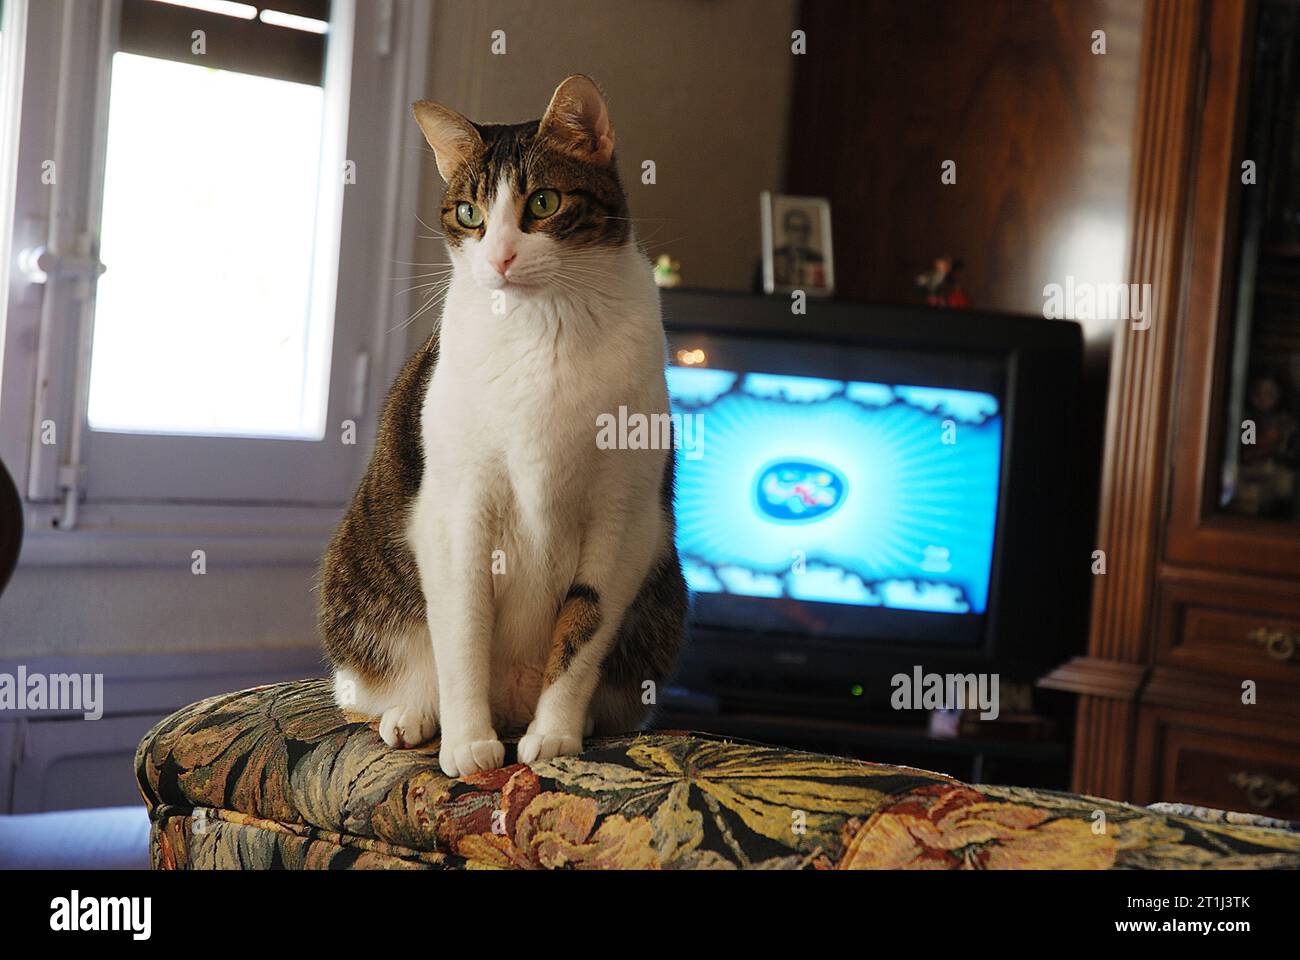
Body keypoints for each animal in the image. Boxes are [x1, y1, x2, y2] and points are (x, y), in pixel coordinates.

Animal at [318, 74, 686, 780]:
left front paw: (556, 734)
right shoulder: (459, 507)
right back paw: (413, 716)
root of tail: (510, 698)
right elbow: (463, 628)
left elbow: (584, 625)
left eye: (543, 201)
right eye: (470, 214)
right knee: (378, 682)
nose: (502, 257)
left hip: (664, 598)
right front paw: (467, 746)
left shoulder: (625, 517)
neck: (545, 326)